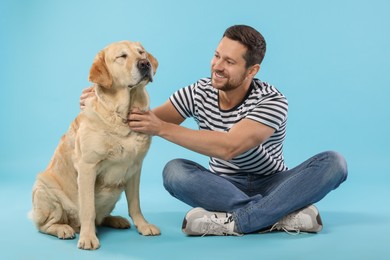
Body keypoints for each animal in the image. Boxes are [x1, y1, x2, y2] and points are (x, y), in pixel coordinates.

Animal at [30, 40, 161, 250]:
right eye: (122, 56)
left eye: (141, 53)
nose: (145, 64)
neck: (122, 115)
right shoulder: (87, 167)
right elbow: (88, 209)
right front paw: (88, 238)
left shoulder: (135, 167)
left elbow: (135, 204)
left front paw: (143, 225)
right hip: (44, 189)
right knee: (45, 225)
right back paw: (64, 229)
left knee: (101, 217)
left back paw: (115, 220)